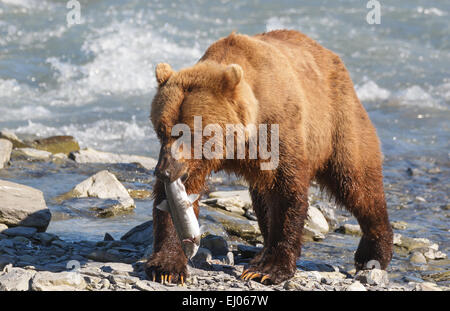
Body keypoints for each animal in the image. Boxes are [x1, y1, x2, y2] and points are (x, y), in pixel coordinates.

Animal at [147, 30, 394, 286]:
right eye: (160, 130)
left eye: (190, 133)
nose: (163, 171)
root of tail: (332, 56)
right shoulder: (197, 162)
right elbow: (178, 198)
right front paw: (167, 266)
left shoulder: (279, 131)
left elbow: (286, 194)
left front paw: (268, 269)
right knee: (262, 200)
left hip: (339, 123)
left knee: (357, 183)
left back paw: (372, 254)